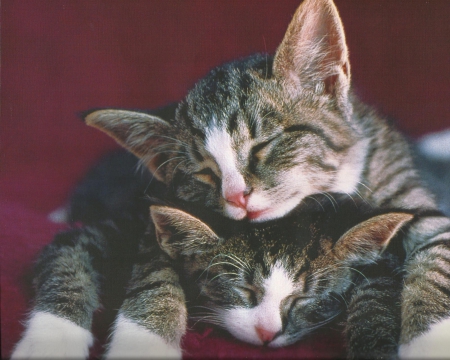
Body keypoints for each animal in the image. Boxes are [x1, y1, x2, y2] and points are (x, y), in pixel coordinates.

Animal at [11, 0, 450, 358]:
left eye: (262, 147)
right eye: (204, 172)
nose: (237, 196)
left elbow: (430, 256)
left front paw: (427, 341)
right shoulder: (151, 212)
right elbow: (151, 260)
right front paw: (135, 340)